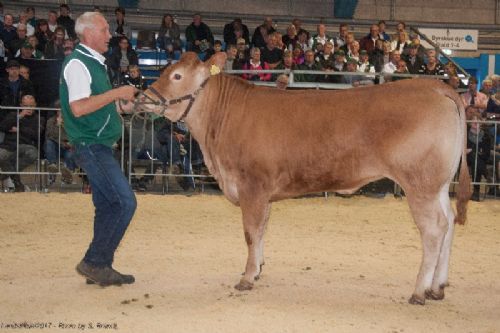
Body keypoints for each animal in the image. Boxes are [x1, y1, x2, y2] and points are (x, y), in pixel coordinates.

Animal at [140, 51, 468, 304]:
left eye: (177, 76)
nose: (143, 97)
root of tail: (435, 86)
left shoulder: (252, 187)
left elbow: (250, 232)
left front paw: (246, 277)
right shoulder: (263, 193)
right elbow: (261, 230)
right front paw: (257, 269)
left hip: (420, 184)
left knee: (433, 230)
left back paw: (419, 291)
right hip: (438, 184)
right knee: (449, 222)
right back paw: (438, 287)